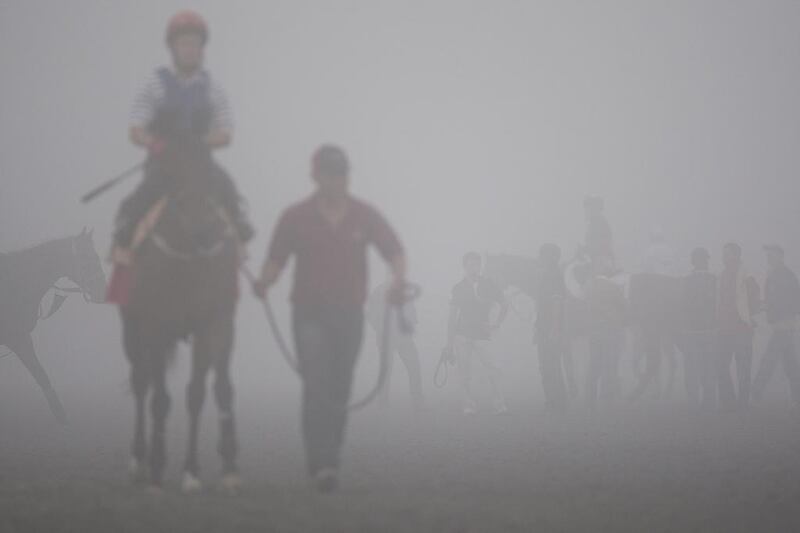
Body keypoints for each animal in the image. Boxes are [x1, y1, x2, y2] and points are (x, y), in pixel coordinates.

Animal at [0, 231, 106, 422]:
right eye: (89, 258)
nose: (103, 290)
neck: (17, 282)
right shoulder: (19, 339)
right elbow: (41, 375)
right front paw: (61, 416)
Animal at [119, 156, 242, 492]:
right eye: (171, 173)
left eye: (213, 173)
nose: (204, 229)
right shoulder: (155, 325)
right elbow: (160, 398)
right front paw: (158, 466)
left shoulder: (213, 323)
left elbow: (204, 391)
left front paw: (202, 470)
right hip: (132, 331)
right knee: (141, 382)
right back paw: (138, 461)